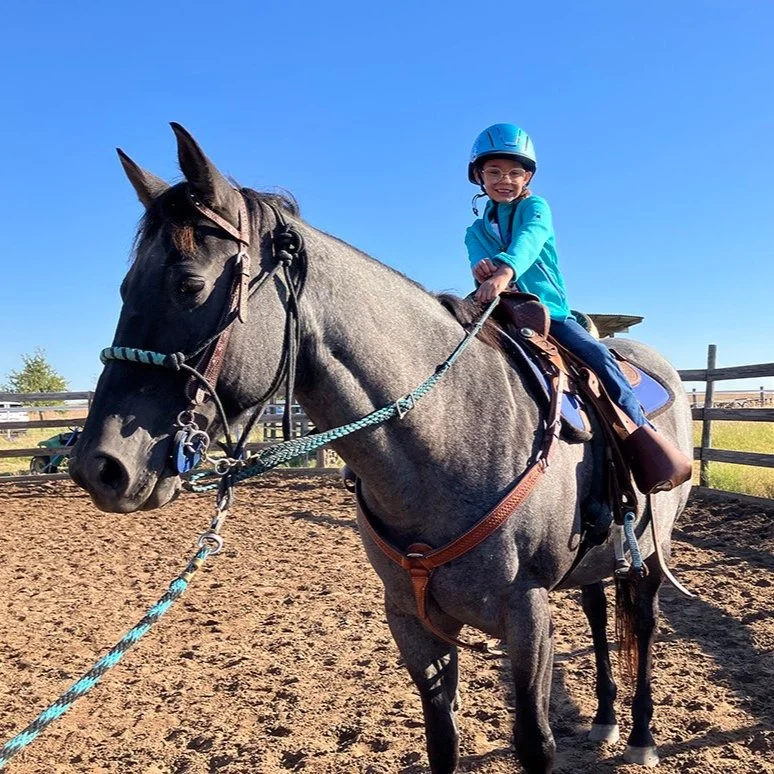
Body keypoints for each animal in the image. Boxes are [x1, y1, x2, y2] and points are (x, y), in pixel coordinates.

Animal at [69, 123, 694, 773]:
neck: (449, 434)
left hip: (652, 551)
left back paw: (641, 734)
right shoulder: (411, 620)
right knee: (598, 611)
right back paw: (604, 719)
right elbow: (441, 740)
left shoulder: (527, 616)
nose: (100, 465)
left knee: (643, 622)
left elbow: (535, 743)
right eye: (124, 287)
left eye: (189, 283)